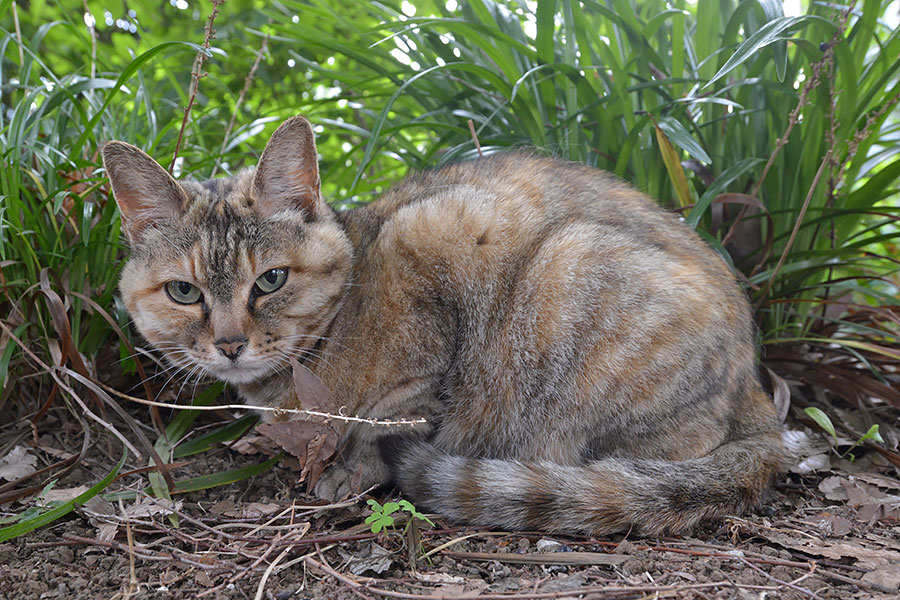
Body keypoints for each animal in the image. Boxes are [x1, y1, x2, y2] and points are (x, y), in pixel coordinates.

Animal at [102, 116, 784, 536]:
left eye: (269, 280)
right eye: (184, 291)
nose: (230, 344)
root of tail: (756, 388)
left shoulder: (434, 241)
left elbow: (392, 419)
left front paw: (353, 469)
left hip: (568, 269)